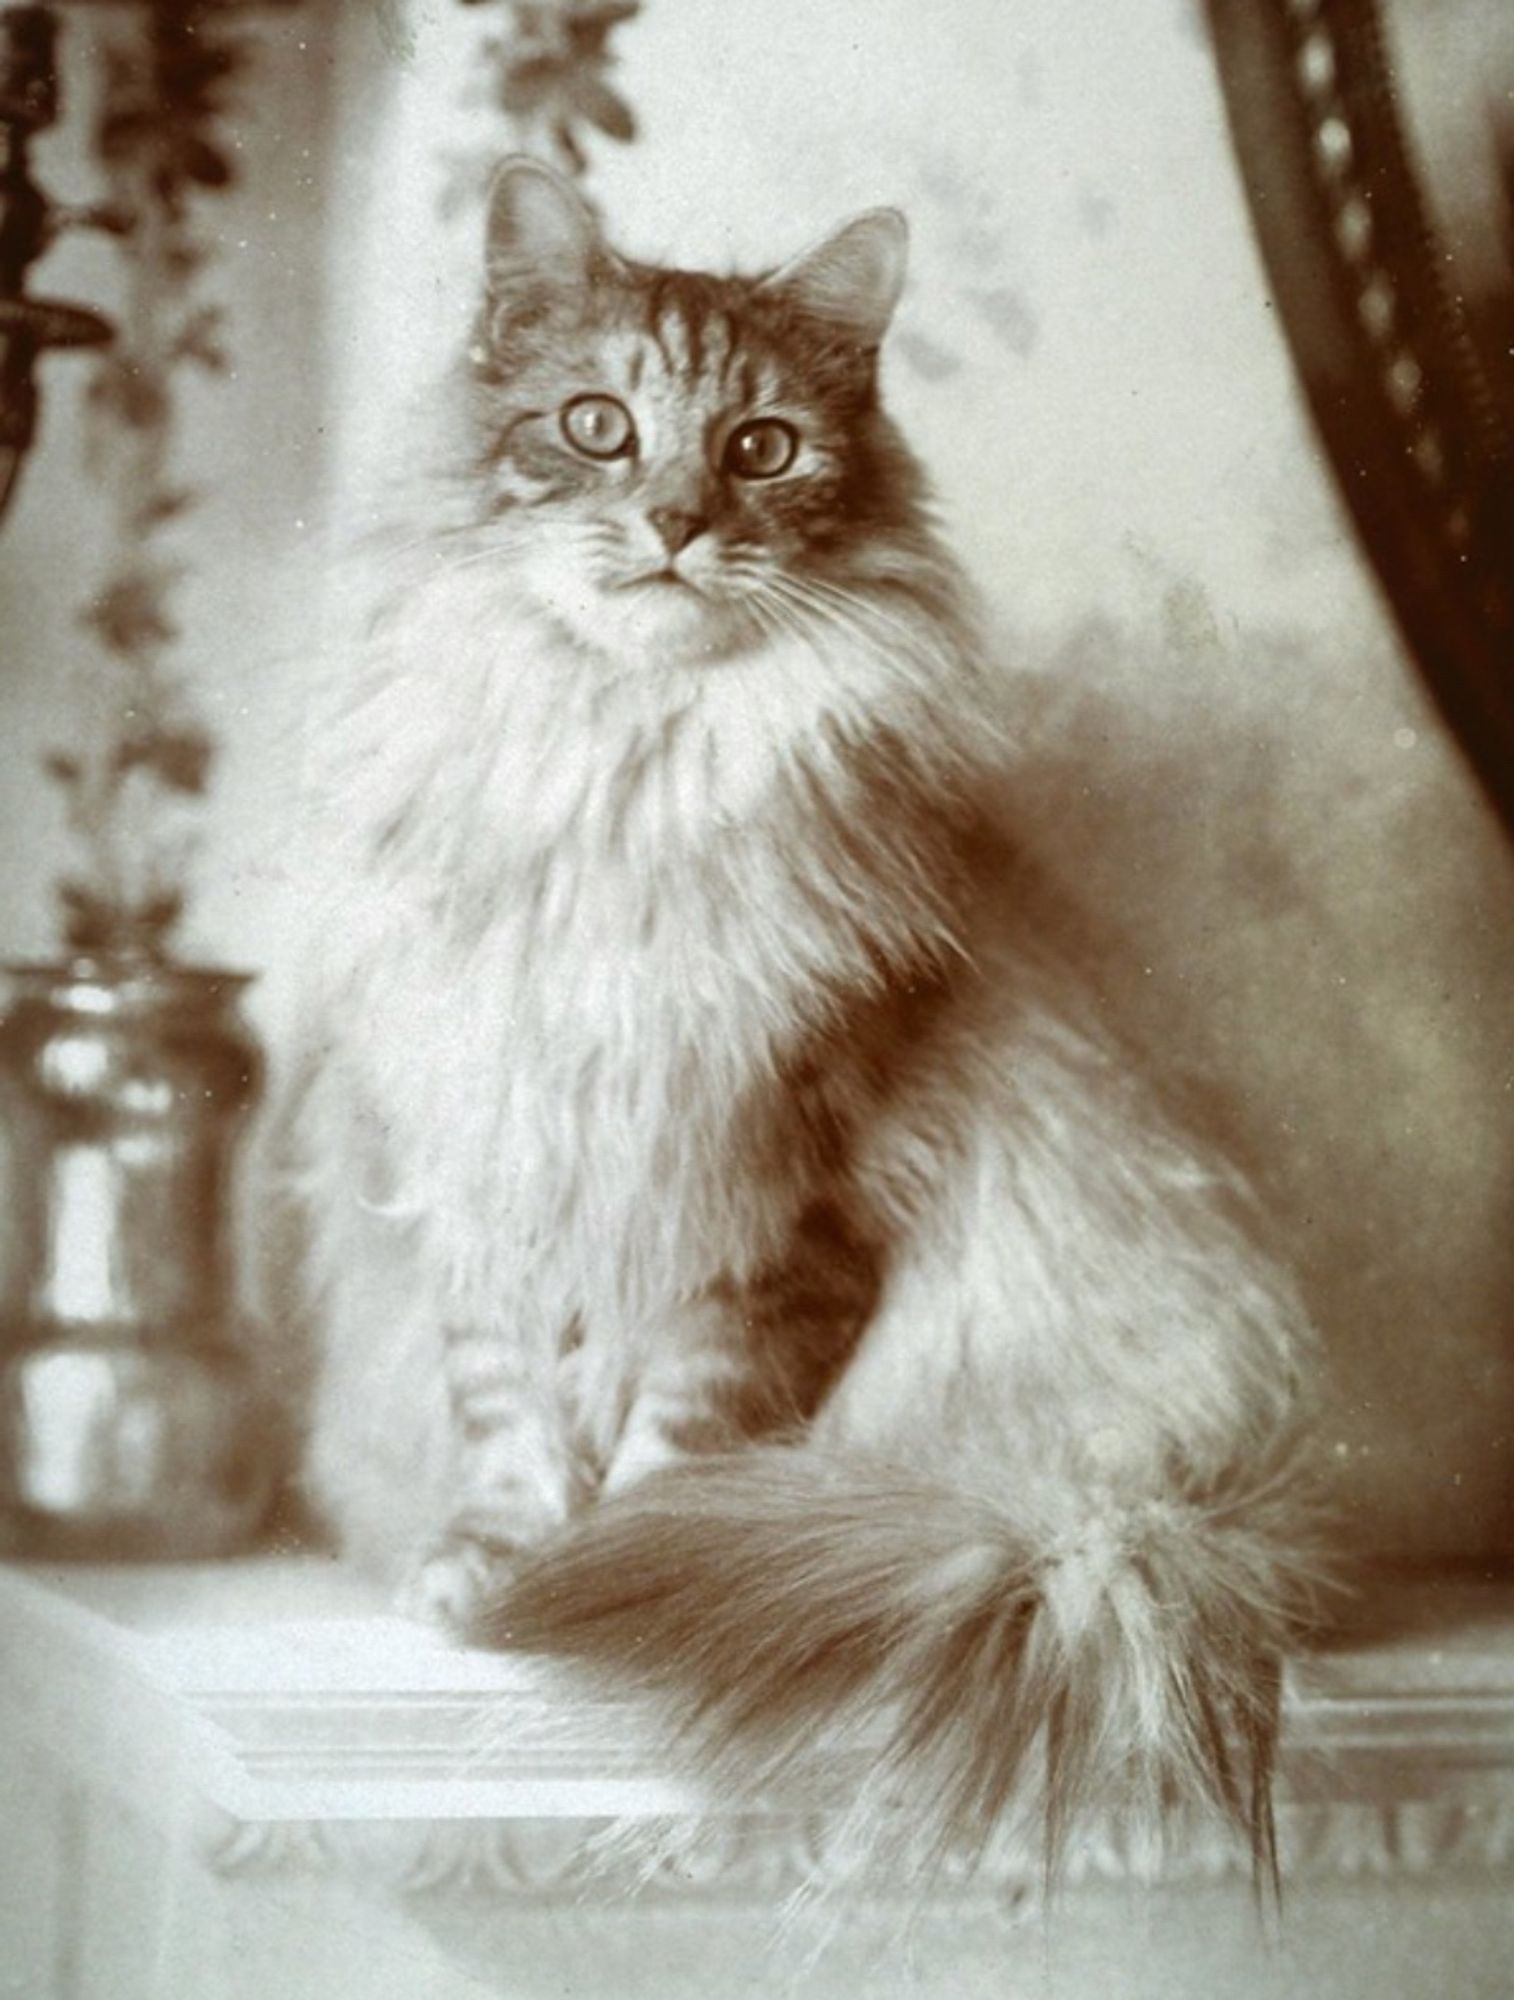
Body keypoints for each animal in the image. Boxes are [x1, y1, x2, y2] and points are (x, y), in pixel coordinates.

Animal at [280, 160, 1312, 1888]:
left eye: (760, 448)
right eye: (597, 425)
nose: (675, 523)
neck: (619, 777)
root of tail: (1121, 1529)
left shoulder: (768, 1205)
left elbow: (680, 1440)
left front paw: (605, 1576)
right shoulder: (498, 1165)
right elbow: (506, 1411)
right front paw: (499, 1561)